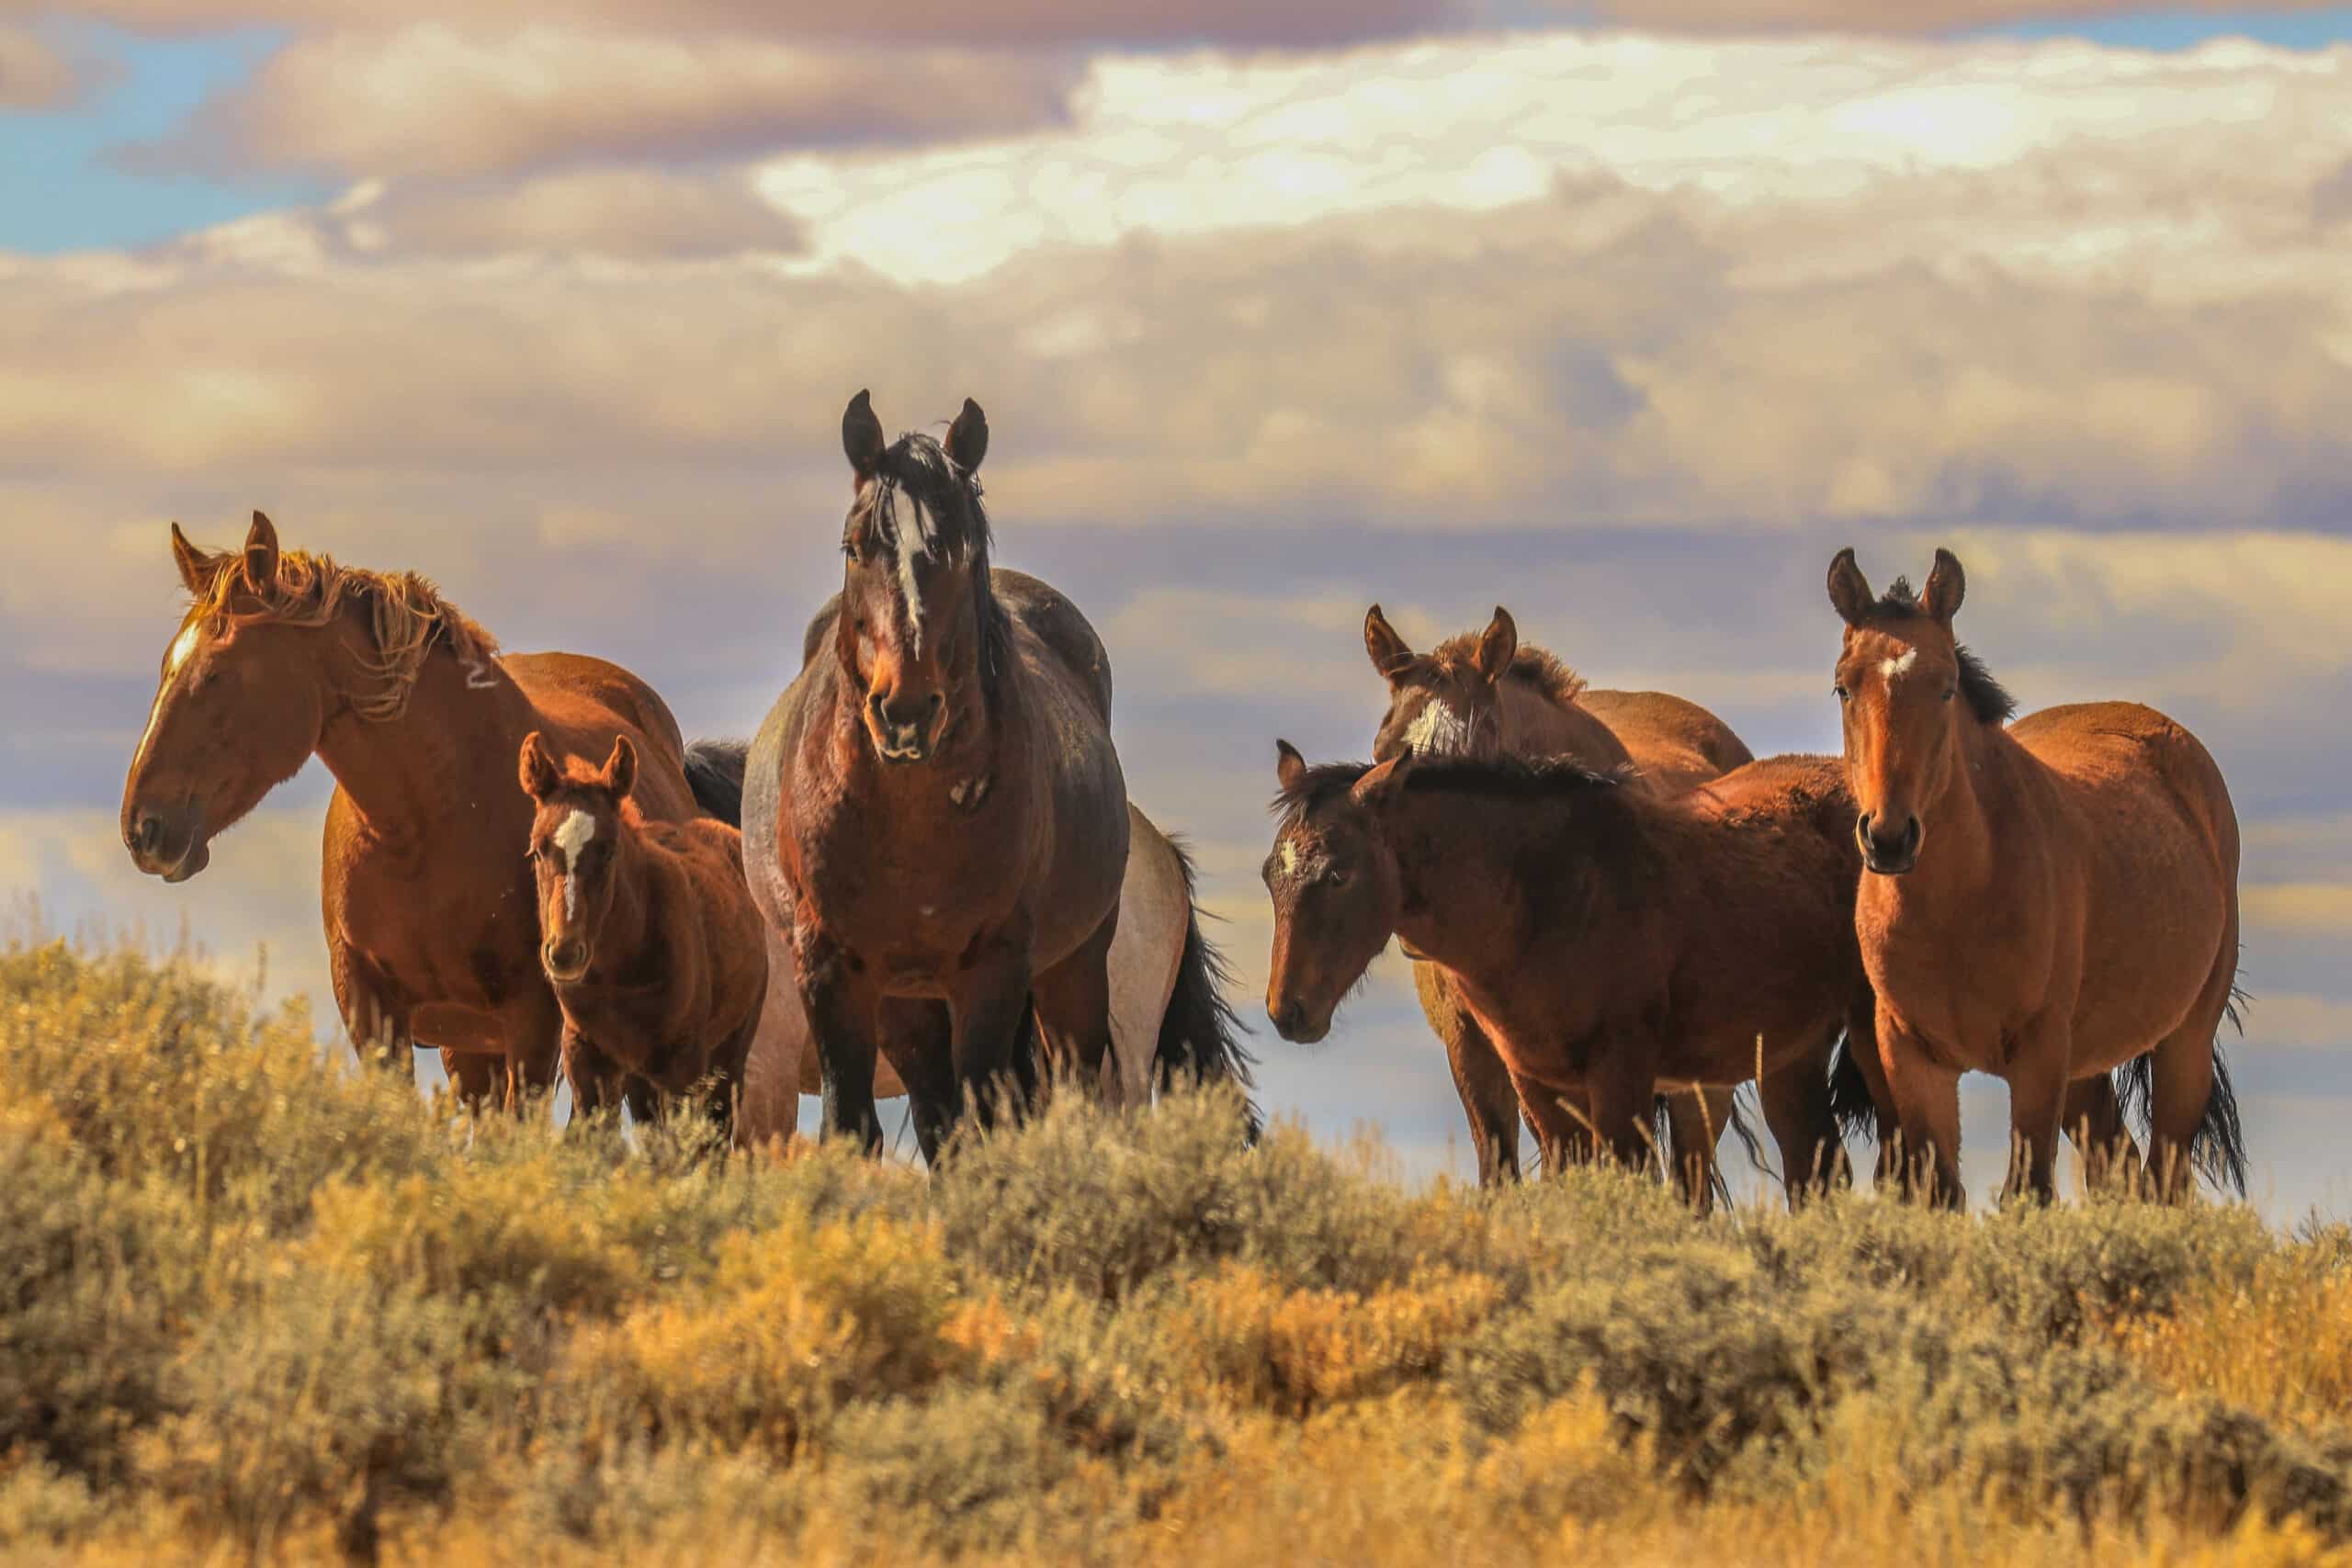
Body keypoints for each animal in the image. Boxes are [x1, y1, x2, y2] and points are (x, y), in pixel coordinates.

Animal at [119, 512, 742, 1104]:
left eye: (217, 674)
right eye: (167, 665)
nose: (141, 827)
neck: (422, 828)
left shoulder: (532, 1023)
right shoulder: (374, 1016)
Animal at [519, 738, 766, 1128]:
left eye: (608, 851)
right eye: (538, 850)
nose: (565, 953)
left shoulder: (684, 1066)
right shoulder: (586, 1059)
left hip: (728, 1054)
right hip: (640, 1078)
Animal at [1261, 742, 1882, 1213]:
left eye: (1338, 874)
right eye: (1271, 874)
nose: (1287, 1011)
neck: (1551, 893)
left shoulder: (1620, 1077)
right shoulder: (1539, 1084)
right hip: (1790, 1057)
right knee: (1816, 1169)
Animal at [1815, 545, 2239, 1213]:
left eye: (1946, 688)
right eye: (1843, 688)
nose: (1889, 836)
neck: (1956, 906)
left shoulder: (2038, 1056)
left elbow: (2027, 1190)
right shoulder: (1911, 1055)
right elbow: (1941, 1191)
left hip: (2183, 1043)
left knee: (2164, 1176)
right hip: (2087, 1070)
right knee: (2119, 1164)